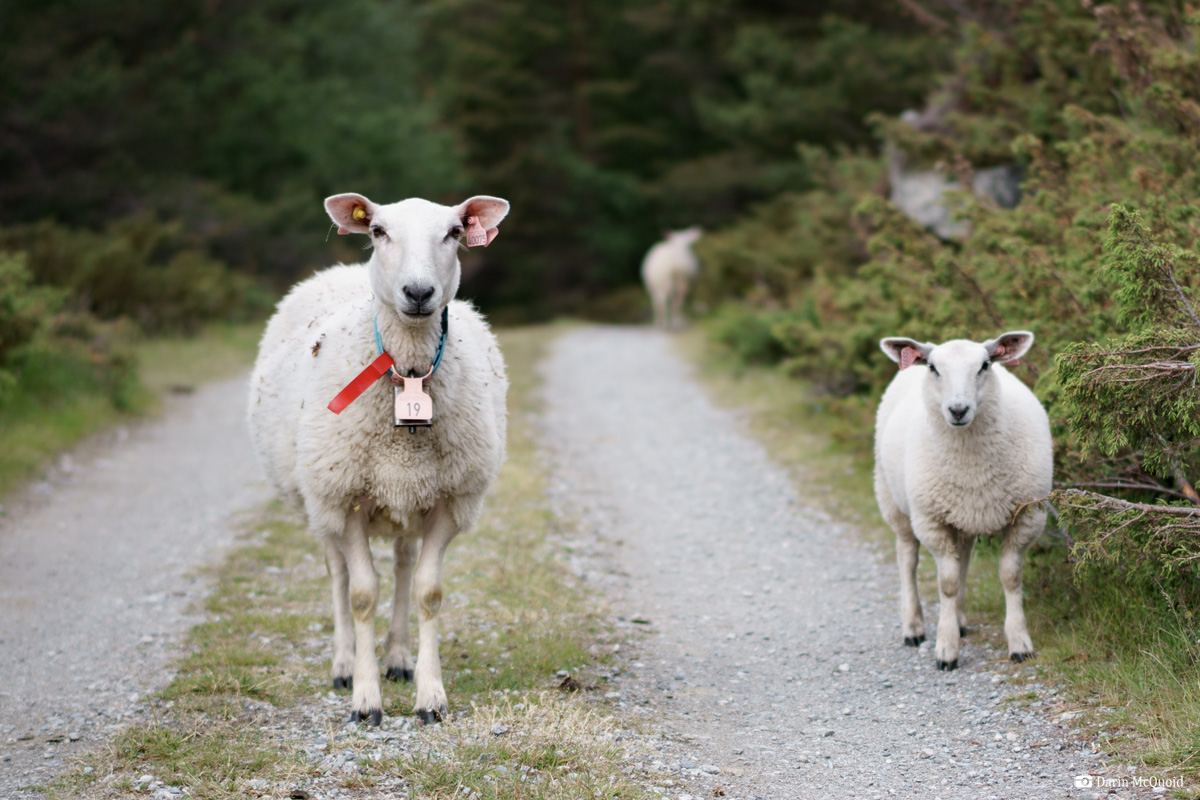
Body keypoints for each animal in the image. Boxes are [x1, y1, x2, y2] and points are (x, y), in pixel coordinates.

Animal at [248, 191, 511, 724]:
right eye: (378, 232)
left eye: (454, 232)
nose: (418, 292)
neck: (407, 372)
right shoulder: (345, 497)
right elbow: (362, 594)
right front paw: (365, 699)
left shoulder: (448, 501)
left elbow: (428, 592)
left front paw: (431, 695)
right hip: (320, 501)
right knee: (338, 575)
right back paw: (346, 664)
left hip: (407, 497)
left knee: (404, 568)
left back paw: (398, 657)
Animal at [873, 331, 1051, 671]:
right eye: (933, 368)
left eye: (984, 365)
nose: (958, 410)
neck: (972, 468)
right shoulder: (931, 521)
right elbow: (947, 583)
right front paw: (946, 649)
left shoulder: (1026, 516)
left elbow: (1010, 577)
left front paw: (1020, 643)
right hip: (894, 500)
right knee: (907, 558)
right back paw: (913, 627)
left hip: (962, 517)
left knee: (964, 558)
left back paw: (959, 620)